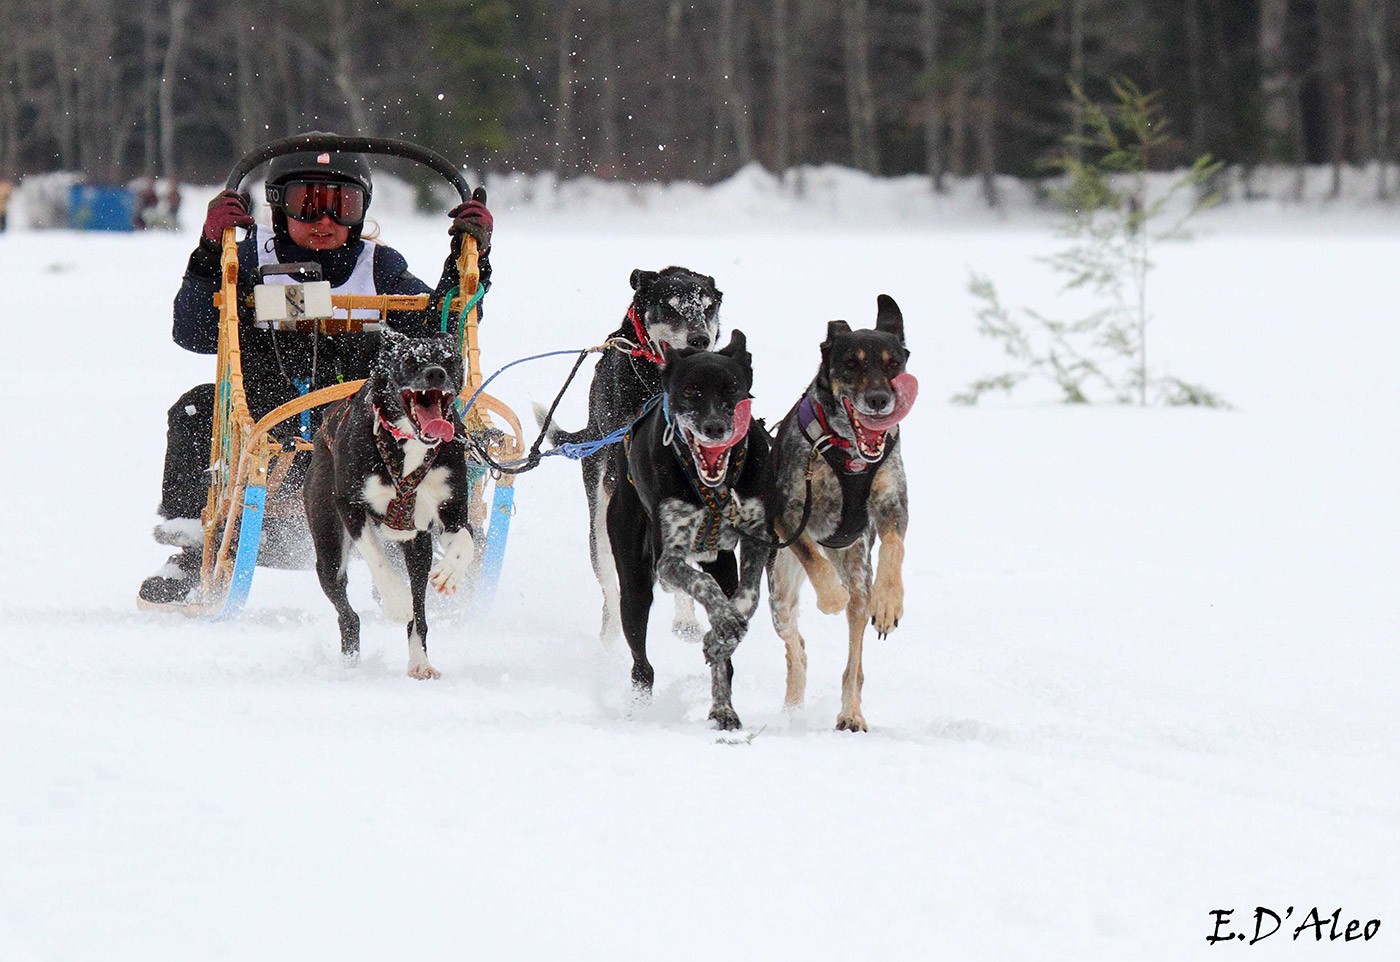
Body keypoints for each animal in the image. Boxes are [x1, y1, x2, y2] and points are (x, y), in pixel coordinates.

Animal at [303, 330, 476, 679]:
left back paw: (420, 662)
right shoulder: (350, 506)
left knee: (419, 615)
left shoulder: (453, 514)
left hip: (419, 552)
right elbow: (377, 558)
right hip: (328, 552)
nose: (436, 373)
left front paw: (450, 572)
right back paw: (351, 663)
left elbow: (466, 541)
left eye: (449, 359)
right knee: (348, 615)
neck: (407, 443)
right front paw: (396, 600)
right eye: (409, 360)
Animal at [542, 267, 723, 644]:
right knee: (610, 583)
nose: (699, 338)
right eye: (670, 307)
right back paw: (611, 634)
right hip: (599, 518)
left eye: (708, 307)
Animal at [605, 330, 772, 729]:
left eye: (733, 388)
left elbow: (747, 597)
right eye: (691, 390)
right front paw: (725, 621)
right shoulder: (669, 558)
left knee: (725, 659)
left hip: (724, 563)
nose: (714, 428)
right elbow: (702, 584)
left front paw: (727, 627)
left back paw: (722, 707)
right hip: (634, 586)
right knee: (642, 666)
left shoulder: (758, 538)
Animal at [766, 295, 917, 731]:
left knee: (855, 661)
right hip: (780, 592)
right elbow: (813, 559)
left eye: (893, 363)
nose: (879, 400)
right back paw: (793, 708)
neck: (849, 452)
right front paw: (830, 596)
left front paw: (890, 601)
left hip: (856, 567)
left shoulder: (891, 504)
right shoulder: (787, 513)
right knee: (796, 647)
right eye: (851, 363)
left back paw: (851, 713)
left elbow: (895, 547)